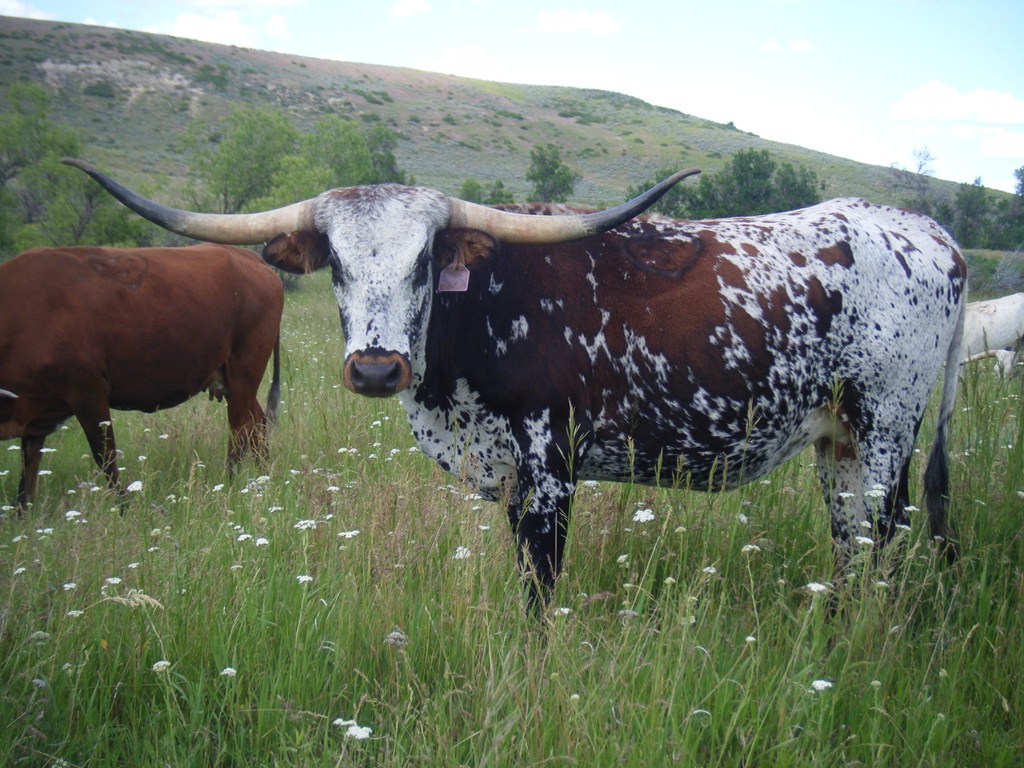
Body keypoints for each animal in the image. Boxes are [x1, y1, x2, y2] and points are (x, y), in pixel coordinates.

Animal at [1, 243, 283, 511]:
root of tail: (248, 257)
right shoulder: (36, 418)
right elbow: (28, 473)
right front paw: (21, 516)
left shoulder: (88, 393)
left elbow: (105, 456)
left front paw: (124, 508)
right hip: (232, 380)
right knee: (256, 424)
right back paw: (263, 478)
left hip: (244, 372)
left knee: (239, 431)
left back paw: (230, 484)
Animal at [65, 158, 967, 612]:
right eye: (339, 266)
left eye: (424, 260)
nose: (376, 367)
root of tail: (925, 231)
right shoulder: (504, 472)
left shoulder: (549, 466)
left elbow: (540, 585)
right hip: (837, 440)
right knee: (851, 541)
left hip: (886, 428)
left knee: (885, 536)